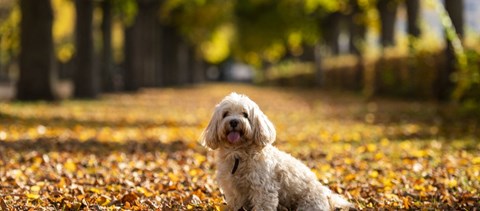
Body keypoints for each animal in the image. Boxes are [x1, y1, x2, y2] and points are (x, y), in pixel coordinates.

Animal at [200, 93, 352, 211]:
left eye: (245, 114)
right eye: (225, 114)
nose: (233, 122)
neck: (239, 153)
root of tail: (327, 194)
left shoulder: (263, 189)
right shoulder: (233, 190)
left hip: (308, 204)